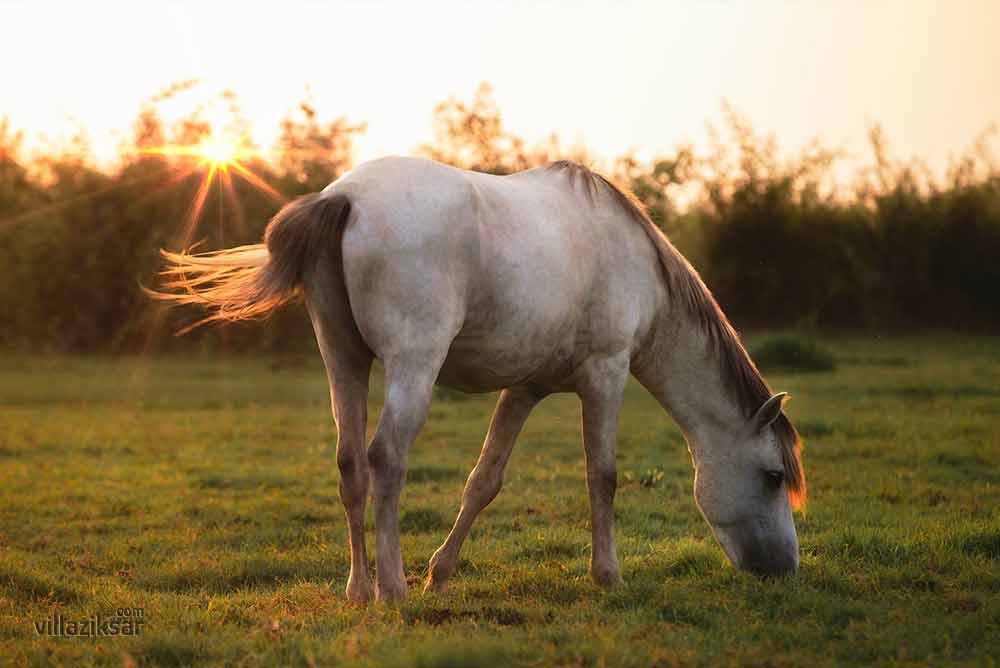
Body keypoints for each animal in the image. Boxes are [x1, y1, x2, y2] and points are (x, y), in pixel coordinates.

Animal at [154, 158, 804, 604]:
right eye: (773, 476)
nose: (784, 570)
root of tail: (344, 198)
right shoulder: (607, 374)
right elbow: (603, 477)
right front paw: (608, 575)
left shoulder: (526, 388)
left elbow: (484, 480)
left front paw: (441, 573)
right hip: (413, 366)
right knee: (386, 458)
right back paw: (392, 589)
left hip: (343, 359)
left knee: (350, 463)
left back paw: (360, 589)